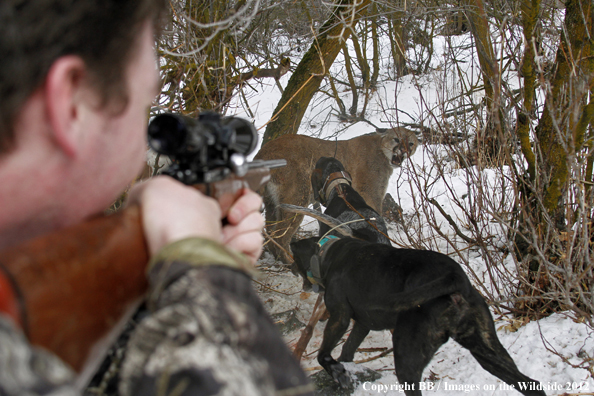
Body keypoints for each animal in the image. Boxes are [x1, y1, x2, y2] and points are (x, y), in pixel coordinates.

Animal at [290, 237, 544, 394]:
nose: (296, 274)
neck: (326, 254)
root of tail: (455, 276)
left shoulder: (339, 318)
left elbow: (324, 355)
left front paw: (338, 374)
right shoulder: (363, 324)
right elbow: (347, 351)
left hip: (407, 356)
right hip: (489, 352)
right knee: (532, 385)